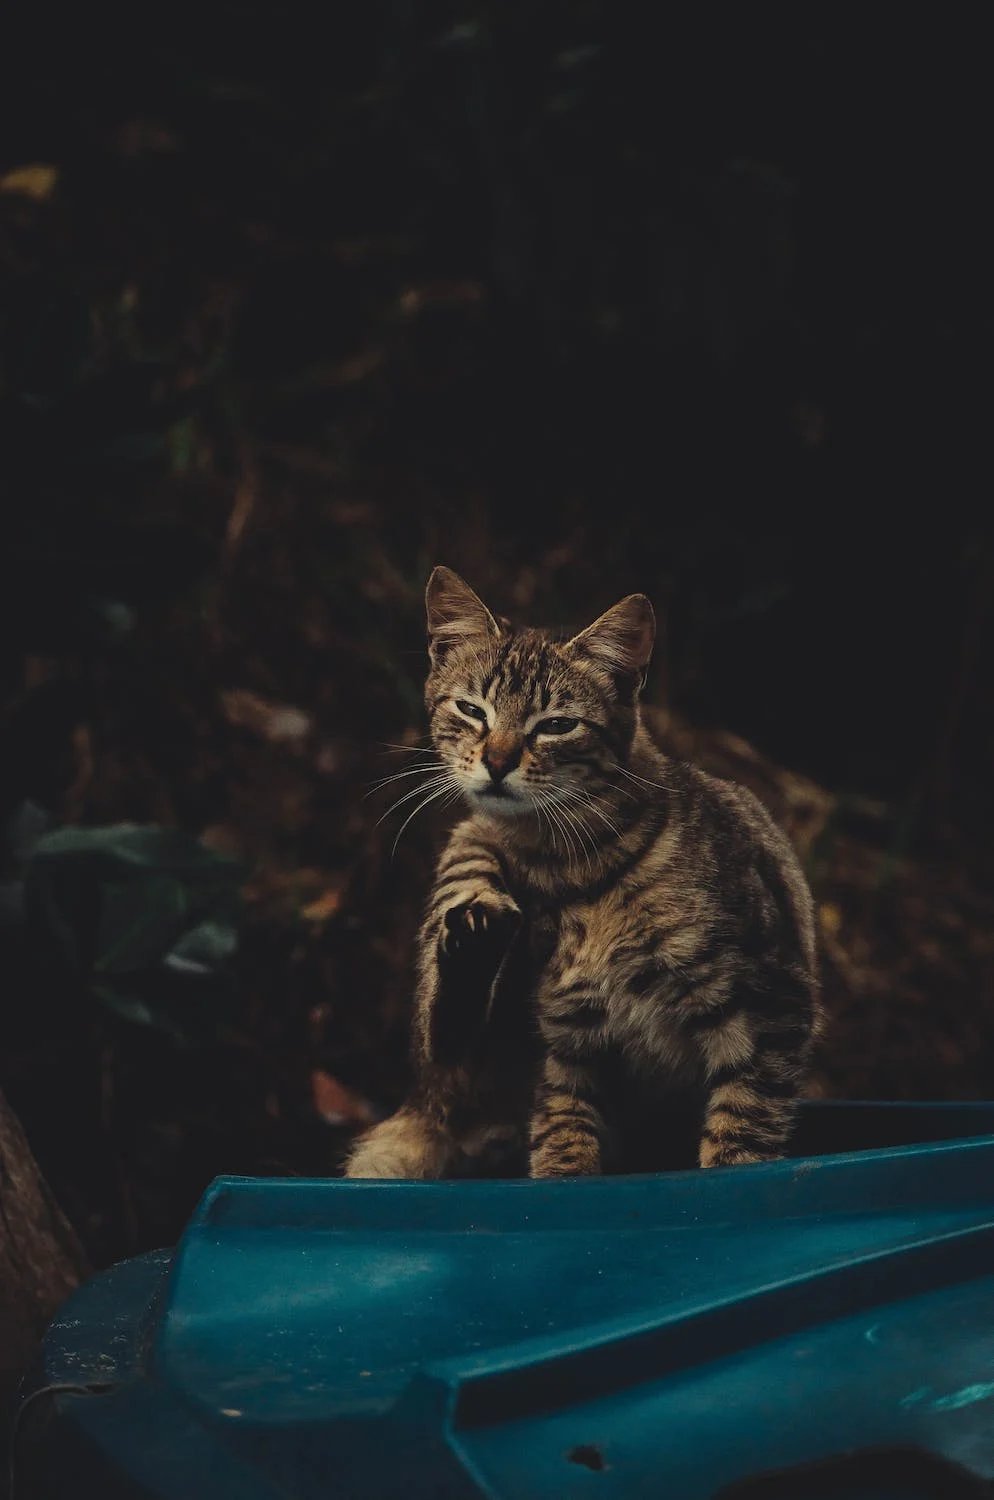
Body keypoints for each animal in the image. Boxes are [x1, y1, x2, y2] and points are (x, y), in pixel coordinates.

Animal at [344, 567, 821, 1176]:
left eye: (557, 725)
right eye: (472, 710)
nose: (497, 763)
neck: (565, 864)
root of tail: (423, 1110)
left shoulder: (771, 1005)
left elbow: (741, 1135)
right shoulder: (567, 1038)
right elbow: (563, 1141)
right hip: (466, 858)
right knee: (443, 1035)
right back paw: (476, 931)